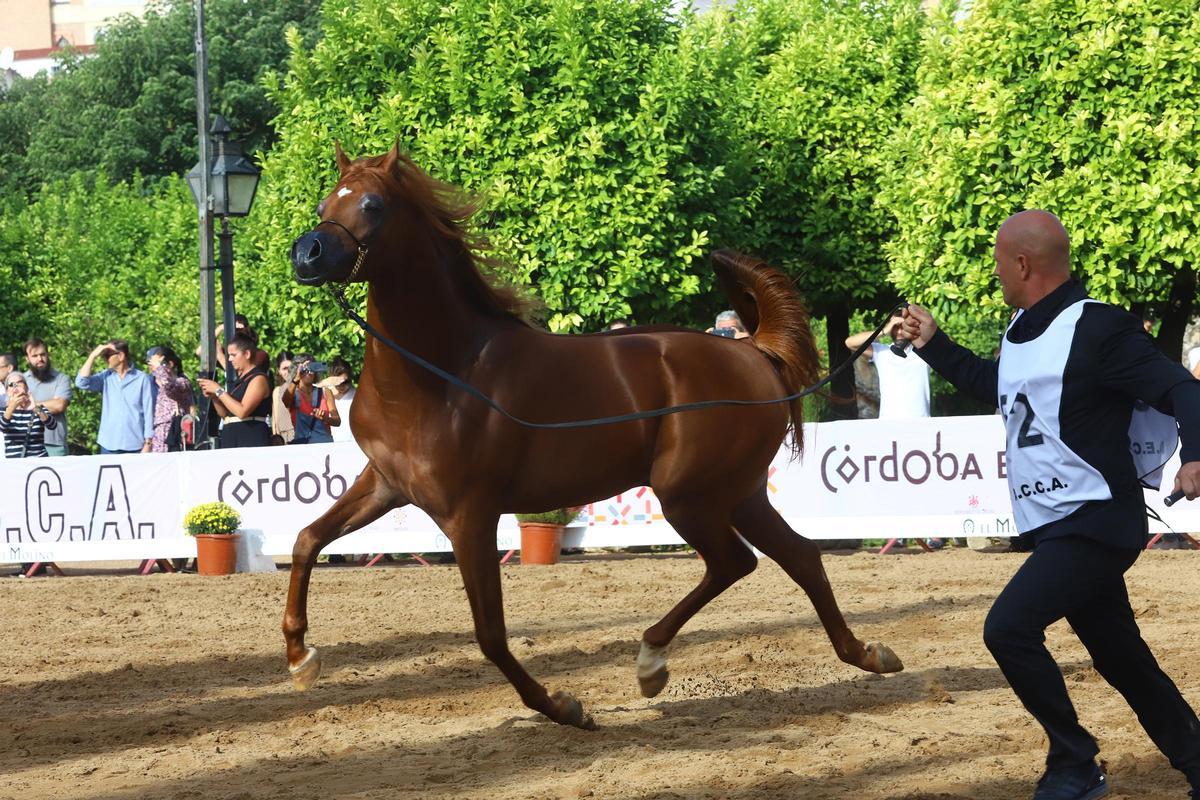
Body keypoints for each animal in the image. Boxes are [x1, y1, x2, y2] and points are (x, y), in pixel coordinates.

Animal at [284, 143, 903, 728]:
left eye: (372, 204)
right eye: (323, 202)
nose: (305, 254)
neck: (442, 371)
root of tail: (752, 352)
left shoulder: (469, 515)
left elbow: (490, 635)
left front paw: (564, 706)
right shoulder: (386, 485)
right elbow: (307, 540)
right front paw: (299, 656)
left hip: (690, 495)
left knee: (735, 562)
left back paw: (652, 662)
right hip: (739, 493)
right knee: (798, 557)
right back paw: (866, 654)